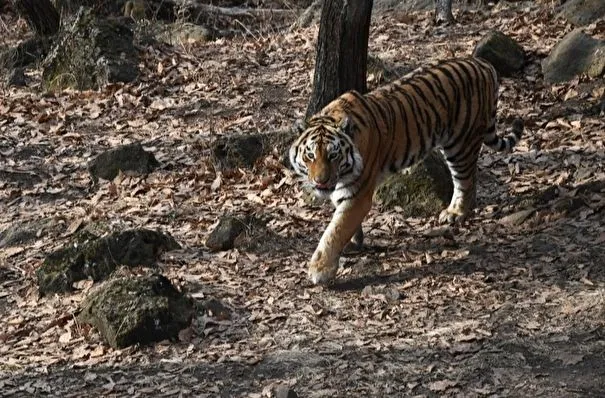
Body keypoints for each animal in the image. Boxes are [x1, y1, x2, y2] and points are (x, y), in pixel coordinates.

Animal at [290, 57, 520, 284]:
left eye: (333, 155)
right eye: (310, 155)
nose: (320, 181)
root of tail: (483, 64)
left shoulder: (358, 193)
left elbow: (336, 229)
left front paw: (320, 269)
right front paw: (353, 243)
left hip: (461, 144)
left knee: (466, 181)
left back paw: (456, 213)